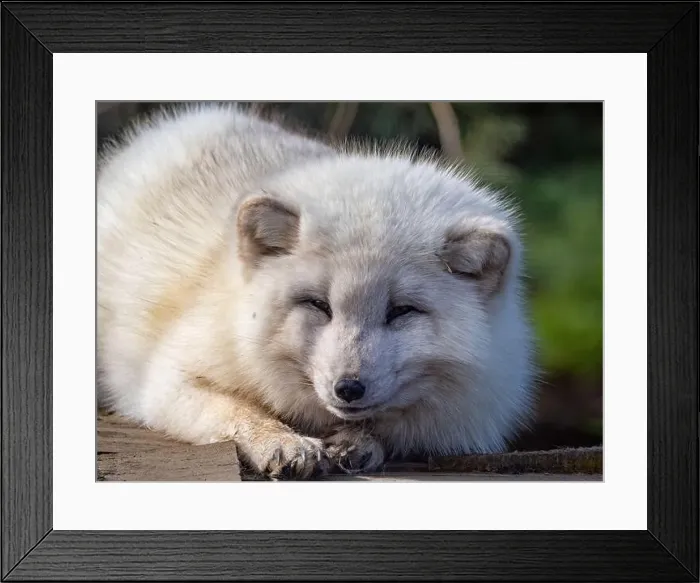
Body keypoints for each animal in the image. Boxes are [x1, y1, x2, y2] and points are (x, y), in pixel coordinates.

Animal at [96, 103, 536, 480]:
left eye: (401, 311)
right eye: (318, 304)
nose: (349, 388)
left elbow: (392, 431)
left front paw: (359, 443)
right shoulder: (168, 379)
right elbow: (241, 413)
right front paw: (282, 443)